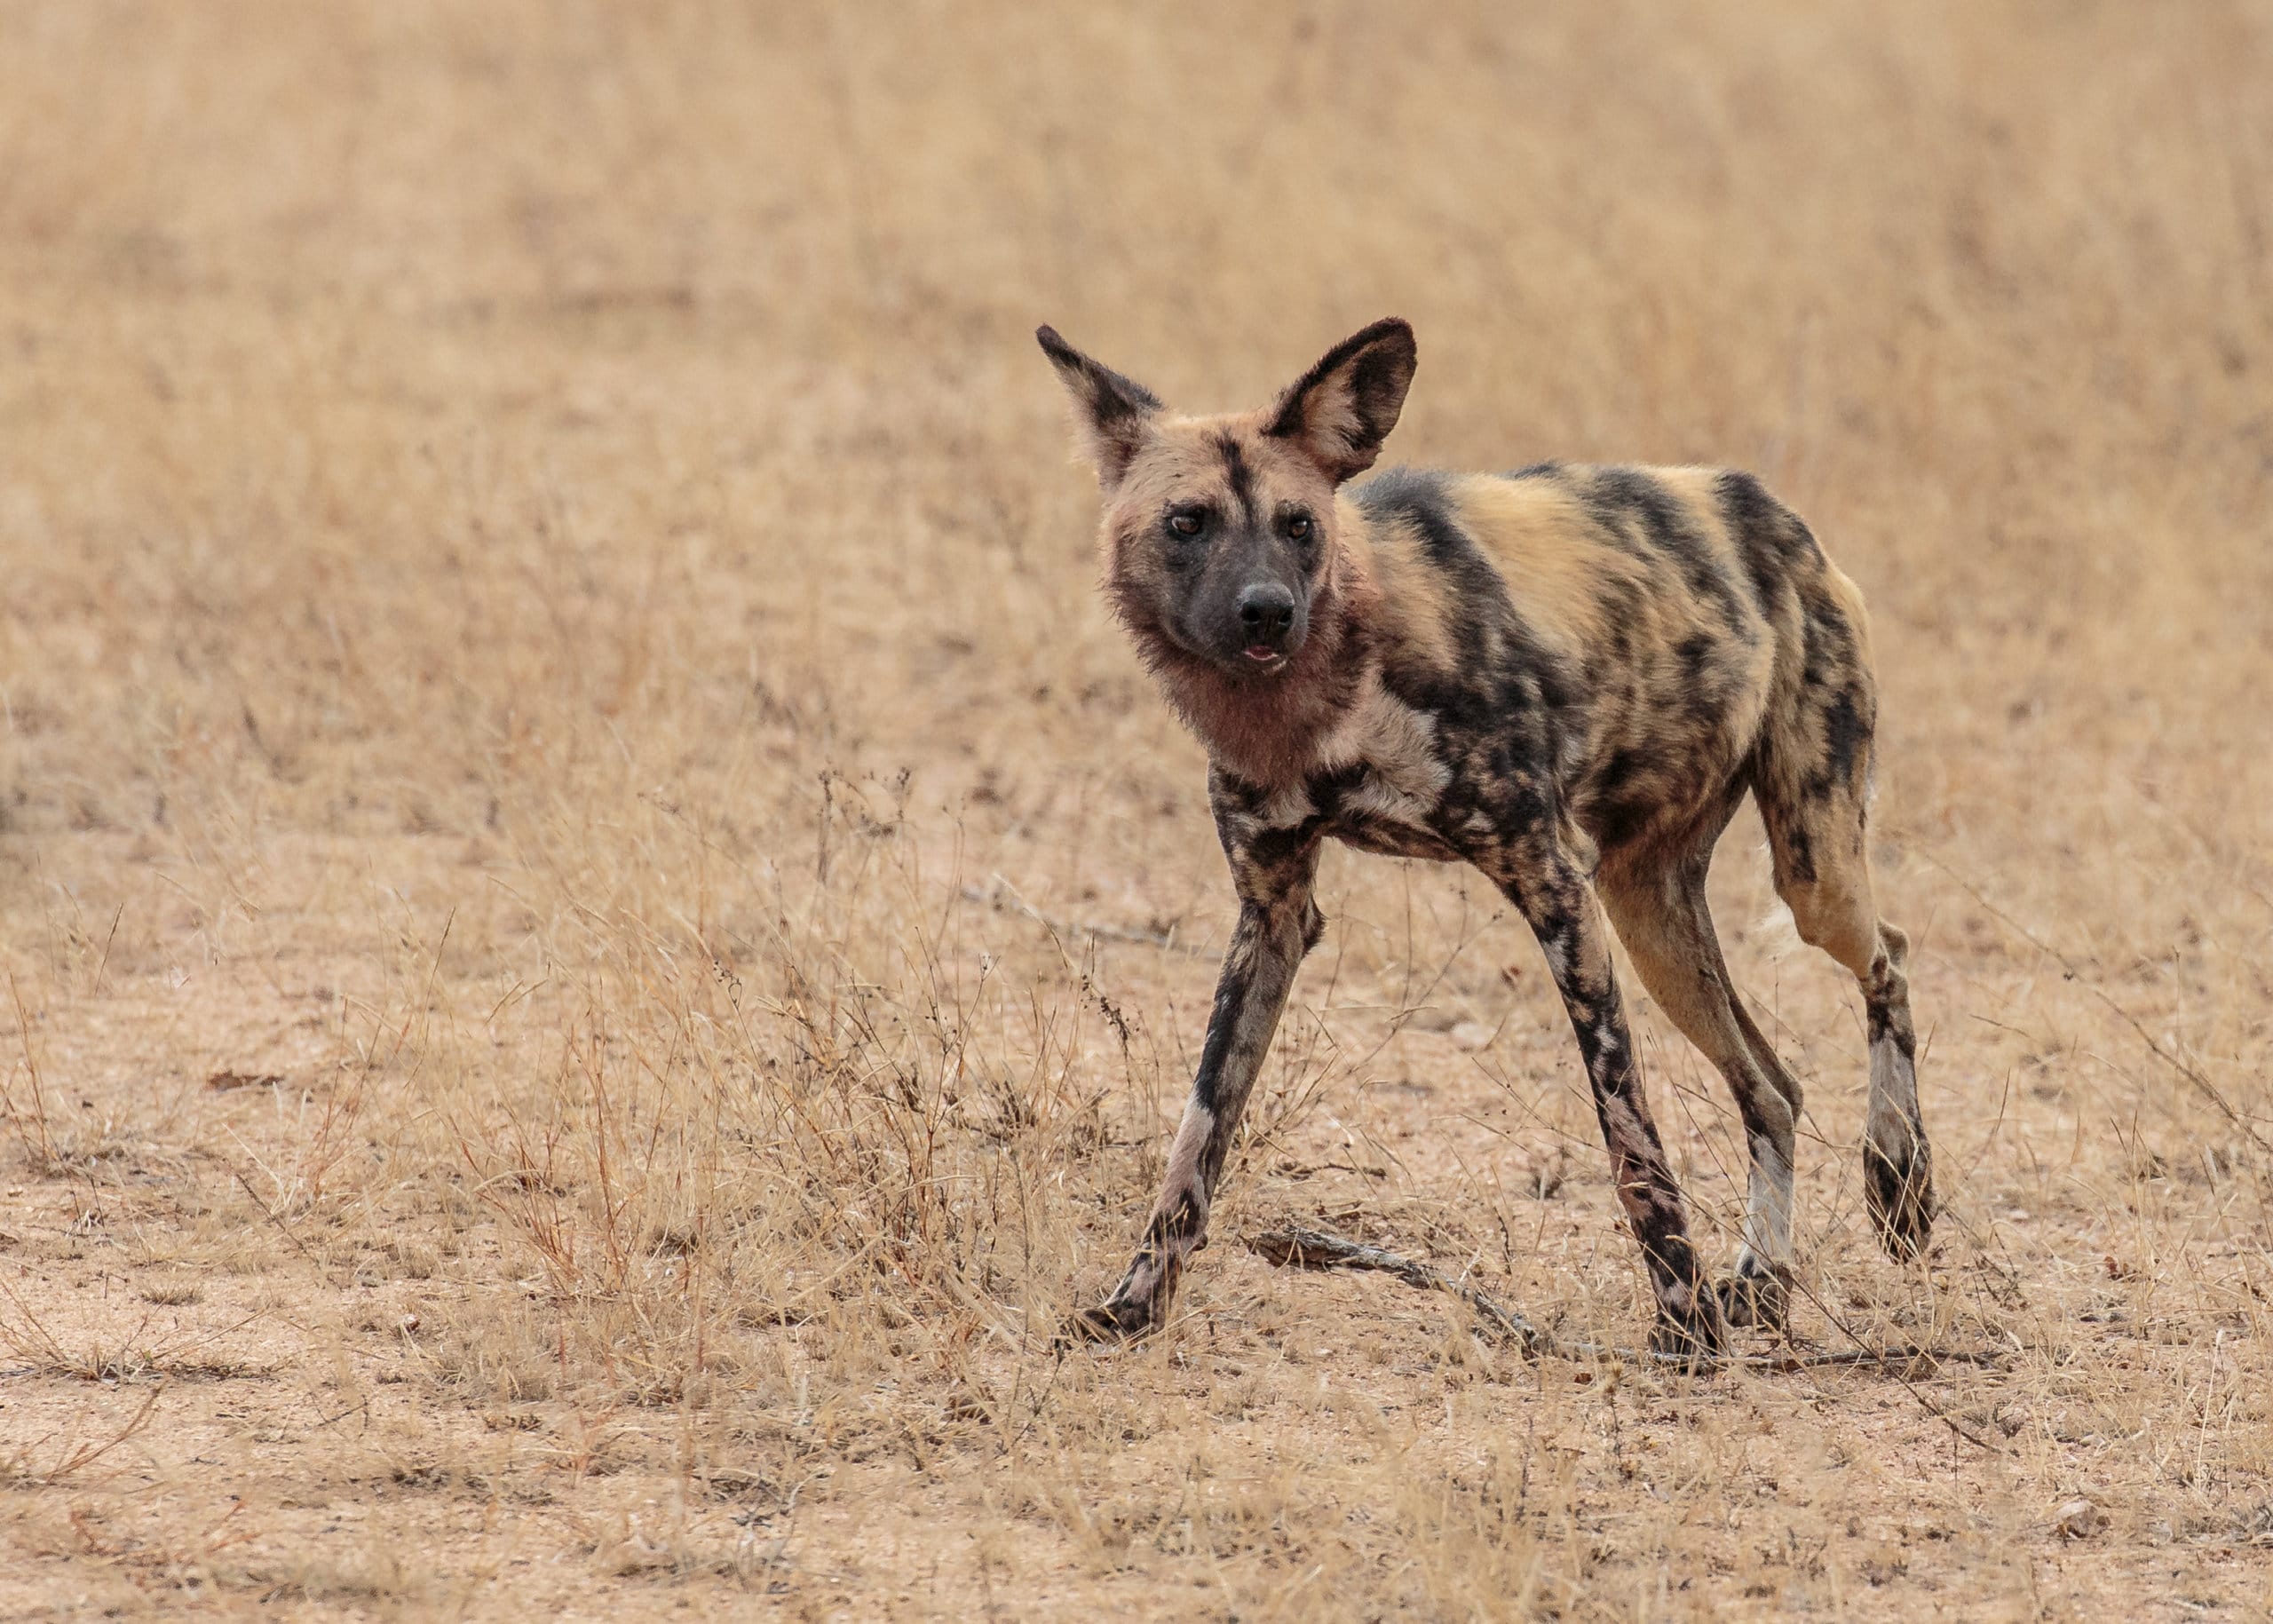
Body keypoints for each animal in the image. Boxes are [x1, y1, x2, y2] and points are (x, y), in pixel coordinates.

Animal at [1041, 316, 1927, 1355]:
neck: (1334, 693)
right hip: (1651, 916)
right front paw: (1134, 1303)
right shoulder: (1273, 917)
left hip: (1807, 872)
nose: (1267, 609)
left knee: (1888, 957)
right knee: (1774, 1088)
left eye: (1298, 525)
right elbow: (1198, 1134)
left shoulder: (1554, 888)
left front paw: (1684, 1324)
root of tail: (1770, 508)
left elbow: (1629, 1137)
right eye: (1186, 523)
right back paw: (1765, 1279)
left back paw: (1901, 1184)